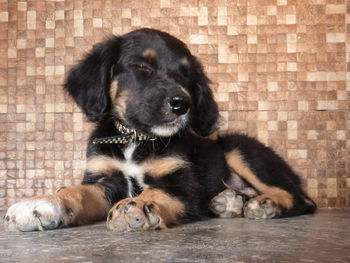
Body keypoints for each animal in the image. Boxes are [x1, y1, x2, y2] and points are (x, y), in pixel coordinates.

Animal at [3, 27, 314, 232]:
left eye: (187, 75)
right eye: (142, 66)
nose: (181, 104)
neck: (136, 138)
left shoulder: (185, 186)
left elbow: (155, 192)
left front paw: (137, 207)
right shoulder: (104, 179)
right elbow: (74, 192)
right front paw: (42, 204)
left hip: (239, 148)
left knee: (302, 199)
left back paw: (266, 205)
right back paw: (229, 202)